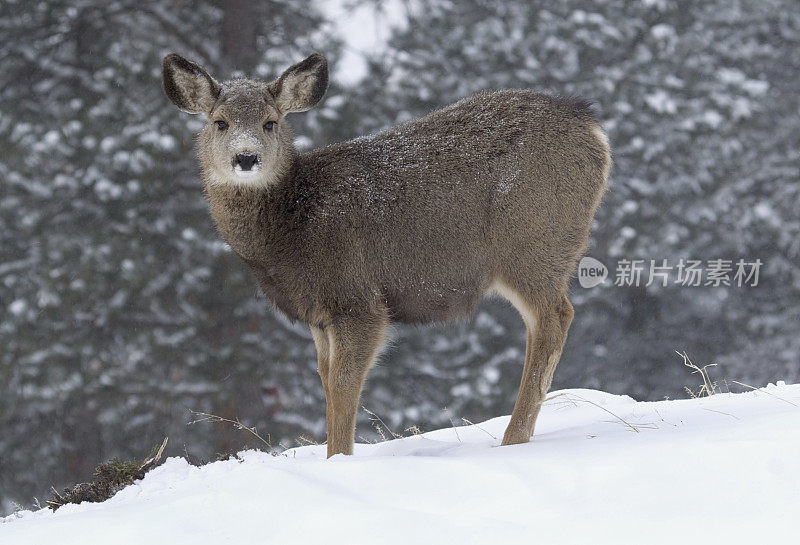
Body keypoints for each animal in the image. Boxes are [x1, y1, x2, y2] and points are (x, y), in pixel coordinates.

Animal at [162, 51, 612, 456]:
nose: (246, 157)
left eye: (270, 122)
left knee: (554, 318)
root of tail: (593, 128)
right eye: (219, 122)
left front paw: (338, 460)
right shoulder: (319, 316)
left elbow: (344, 385)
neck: (291, 231)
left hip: (533, 242)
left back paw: (513, 439)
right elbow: (326, 383)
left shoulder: (357, 298)